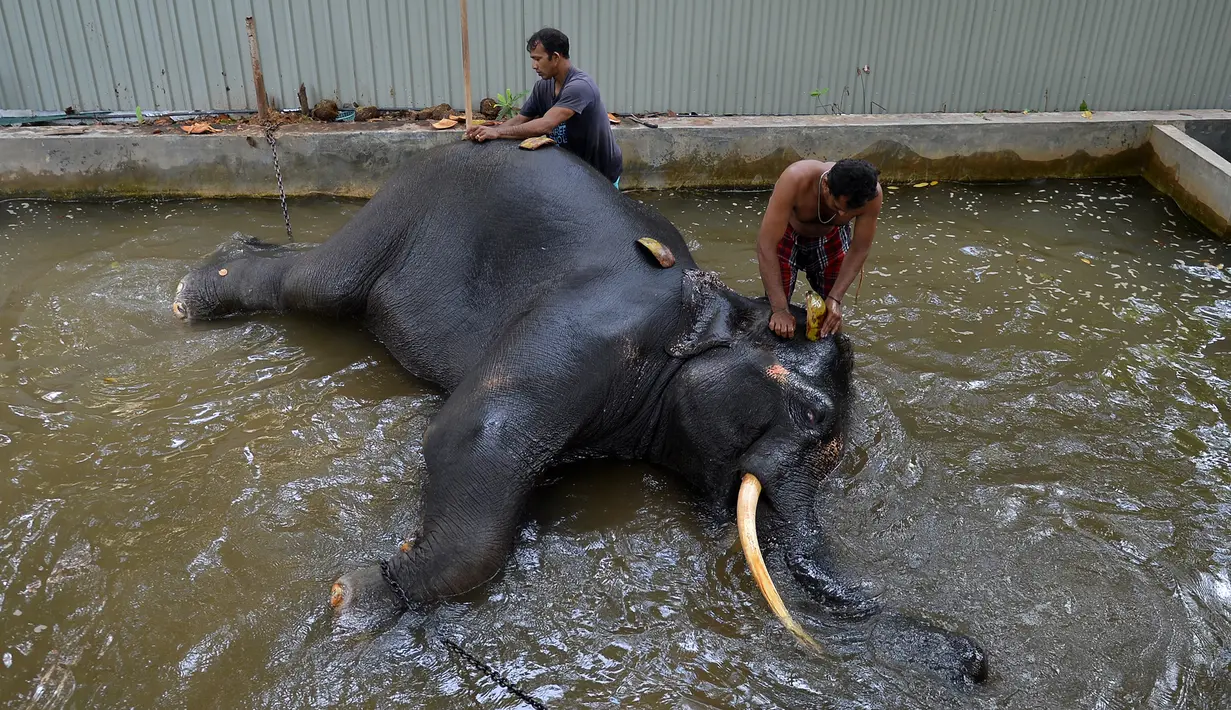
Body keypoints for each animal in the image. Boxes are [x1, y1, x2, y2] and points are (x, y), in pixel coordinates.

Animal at [168, 138, 984, 689]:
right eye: (811, 417)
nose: (976, 662)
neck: (710, 305)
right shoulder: (583, 331)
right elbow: (473, 432)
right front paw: (360, 597)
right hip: (402, 211)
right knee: (315, 285)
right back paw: (191, 295)